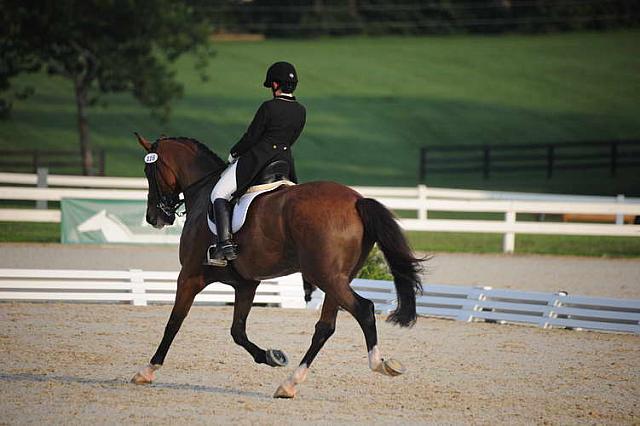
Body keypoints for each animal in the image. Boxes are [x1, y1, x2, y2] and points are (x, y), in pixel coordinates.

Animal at [130, 134, 422, 400]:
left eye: (148, 171)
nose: (153, 217)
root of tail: (356, 201)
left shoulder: (189, 276)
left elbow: (174, 323)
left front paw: (147, 370)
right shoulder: (246, 284)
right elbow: (237, 331)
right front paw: (273, 356)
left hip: (326, 277)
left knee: (364, 309)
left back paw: (381, 364)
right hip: (336, 279)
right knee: (325, 327)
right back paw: (289, 384)